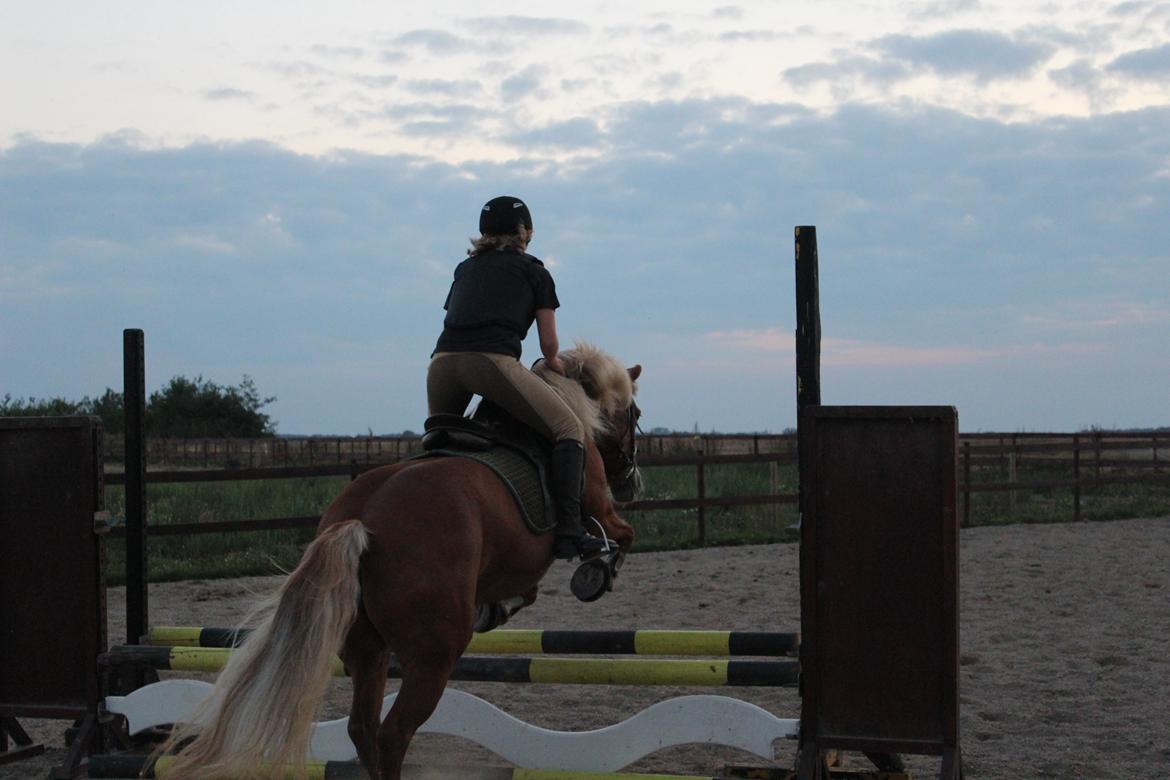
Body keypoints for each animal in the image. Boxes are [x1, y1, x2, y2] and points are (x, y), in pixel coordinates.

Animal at [160, 343, 643, 780]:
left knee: (363, 728)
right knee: (393, 734)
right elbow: (621, 537)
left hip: (367, 649)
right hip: (434, 655)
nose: (632, 482)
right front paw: (597, 573)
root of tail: (364, 519)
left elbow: (529, 588)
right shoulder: (595, 511)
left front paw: (497, 606)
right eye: (634, 414)